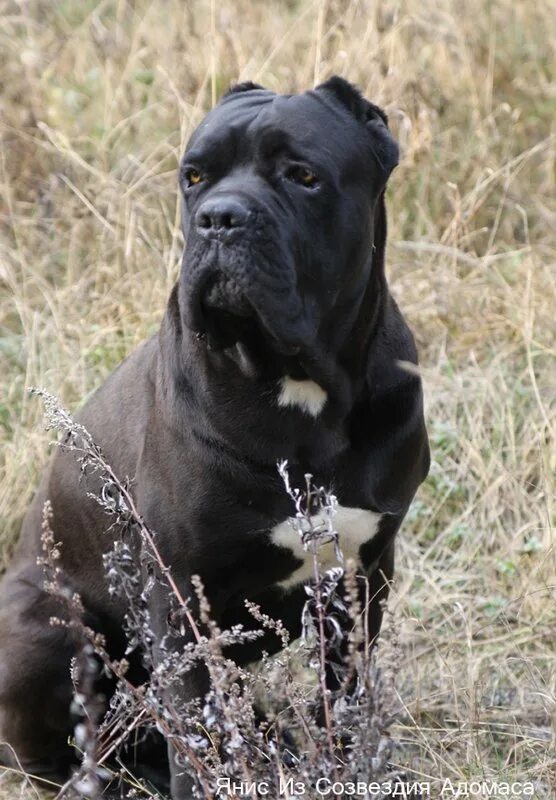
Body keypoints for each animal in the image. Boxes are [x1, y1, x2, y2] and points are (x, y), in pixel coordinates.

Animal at [0, 76, 430, 800]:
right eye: (194, 177)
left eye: (303, 176)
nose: (220, 218)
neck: (299, 387)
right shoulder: (178, 598)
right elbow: (200, 728)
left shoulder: (362, 573)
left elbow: (343, 699)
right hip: (46, 634)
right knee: (61, 752)